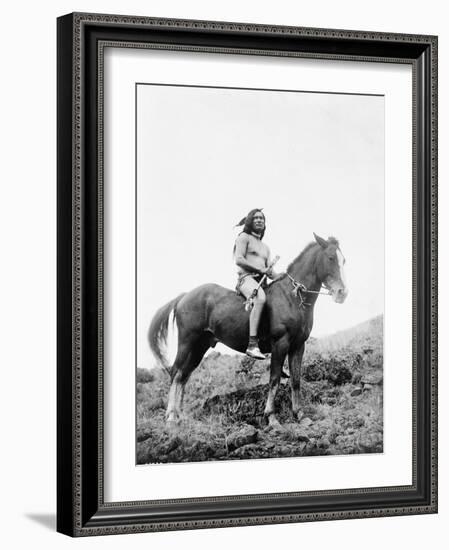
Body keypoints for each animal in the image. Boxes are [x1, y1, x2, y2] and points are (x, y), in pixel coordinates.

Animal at [149, 232, 348, 426]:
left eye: (343, 260)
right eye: (331, 258)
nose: (342, 293)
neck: (291, 297)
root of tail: (185, 296)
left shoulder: (298, 346)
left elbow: (296, 380)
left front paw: (299, 415)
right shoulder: (280, 344)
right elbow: (274, 379)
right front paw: (271, 417)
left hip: (199, 347)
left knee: (184, 376)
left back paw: (179, 415)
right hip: (187, 342)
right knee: (175, 373)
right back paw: (171, 416)